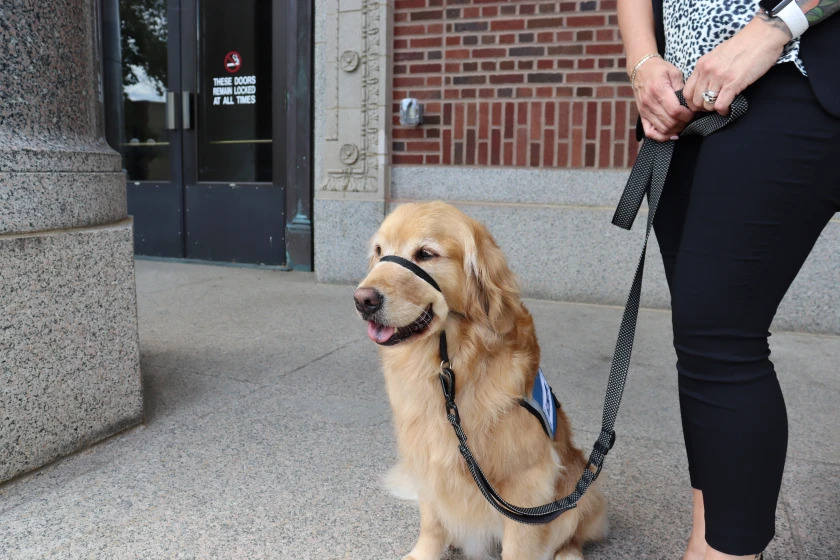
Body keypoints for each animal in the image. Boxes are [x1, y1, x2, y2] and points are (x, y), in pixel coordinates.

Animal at [352, 202, 604, 560]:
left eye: (426, 253)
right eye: (378, 251)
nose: (363, 300)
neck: (449, 366)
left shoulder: (528, 482)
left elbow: (519, 547)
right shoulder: (428, 460)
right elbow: (432, 523)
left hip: (582, 488)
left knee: (571, 536)